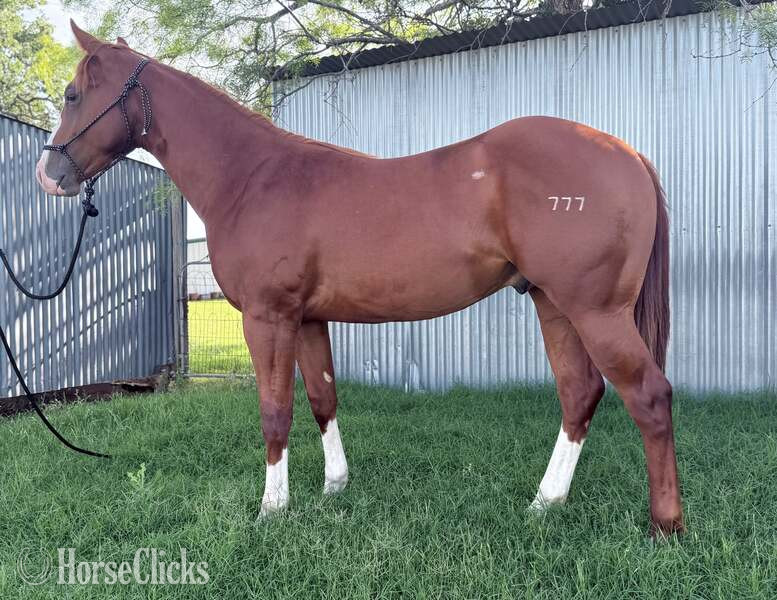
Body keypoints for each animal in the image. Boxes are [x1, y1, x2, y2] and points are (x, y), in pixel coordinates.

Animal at [35, 21, 683, 535]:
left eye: (72, 93)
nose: (48, 174)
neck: (252, 177)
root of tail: (625, 152)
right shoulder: (307, 319)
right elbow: (323, 398)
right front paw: (334, 489)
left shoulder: (268, 318)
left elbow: (275, 410)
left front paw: (272, 510)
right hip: (554, 304)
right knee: (580, 394)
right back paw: (545, 503)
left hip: (595, 310)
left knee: (648, 396)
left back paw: (665, 525)